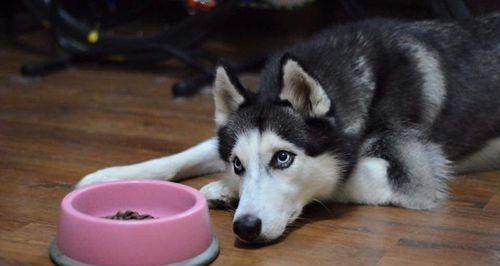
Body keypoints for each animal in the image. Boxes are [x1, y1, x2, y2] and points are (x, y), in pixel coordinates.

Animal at [77, 14, 500, 243]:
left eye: (283, 158)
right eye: (238, 163)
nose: (246, 227)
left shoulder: (413, 175)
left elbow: (335, 179)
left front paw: (222, 190)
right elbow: (191, 153)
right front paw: (110, 176)